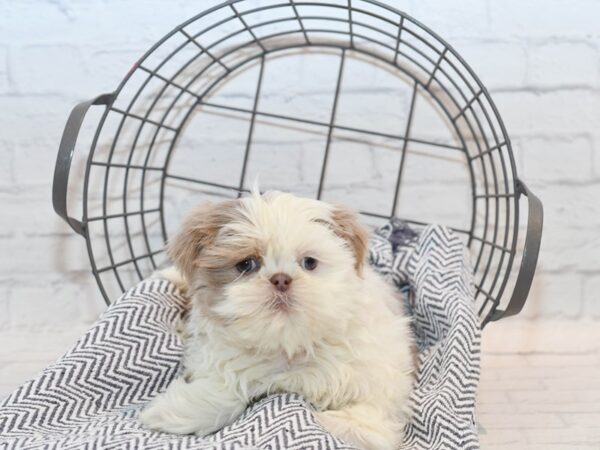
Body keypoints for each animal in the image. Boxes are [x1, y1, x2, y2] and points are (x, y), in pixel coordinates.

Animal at [139, 191, 412, 450]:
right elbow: (228, 389)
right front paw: (173, 412)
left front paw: (336, 423)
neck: (287, 343)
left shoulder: (380, 366)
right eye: (246, 264)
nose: (281, 279)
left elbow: (372, 410)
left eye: (309, 262)